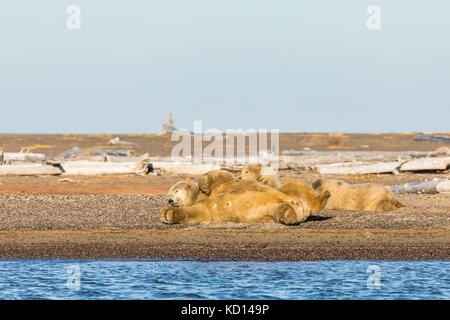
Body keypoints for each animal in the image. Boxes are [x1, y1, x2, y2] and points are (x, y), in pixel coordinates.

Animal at [160, 170, 312, 225]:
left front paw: (204, 185)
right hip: (270, 210)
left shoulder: (223, 183)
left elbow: (216, 174)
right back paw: (287, 212)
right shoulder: (204, 207)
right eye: (168, 194)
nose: (170, 200)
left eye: (176, 190)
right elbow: (198, 213)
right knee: (279, 210)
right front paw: (166, 213)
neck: (196, 196)